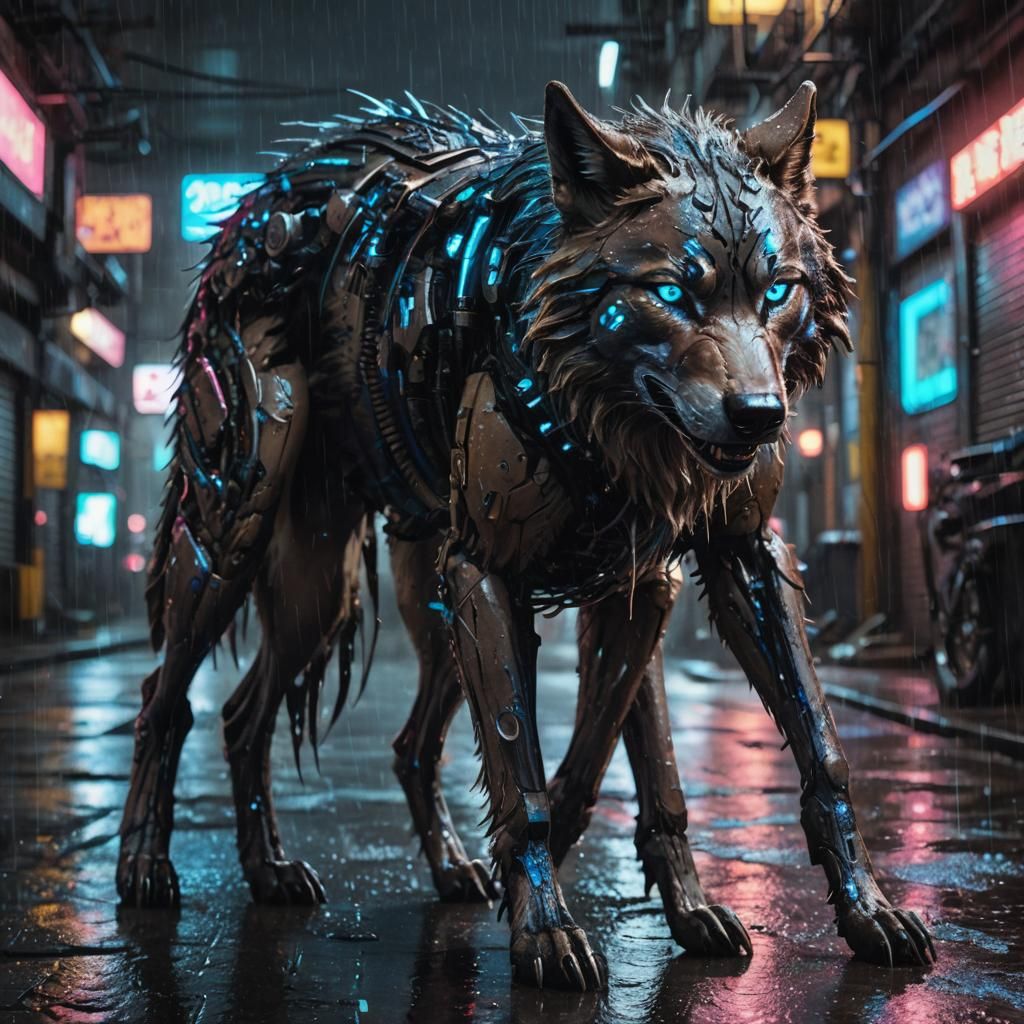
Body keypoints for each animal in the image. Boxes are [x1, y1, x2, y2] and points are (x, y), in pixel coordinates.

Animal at [118, 79, 935, 989]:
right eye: (672, 294)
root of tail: (260, 198)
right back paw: (146, 867)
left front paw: (847, 913)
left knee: (310, 728)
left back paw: (316, 870)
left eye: (776, 291)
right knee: (166, 698)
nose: (759, 417)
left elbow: (760, 750)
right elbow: (530, 773)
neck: (614, 414)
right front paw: (546, 928)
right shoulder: (493, 571)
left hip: (344, 600)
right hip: (244, 535)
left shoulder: (696, 567)